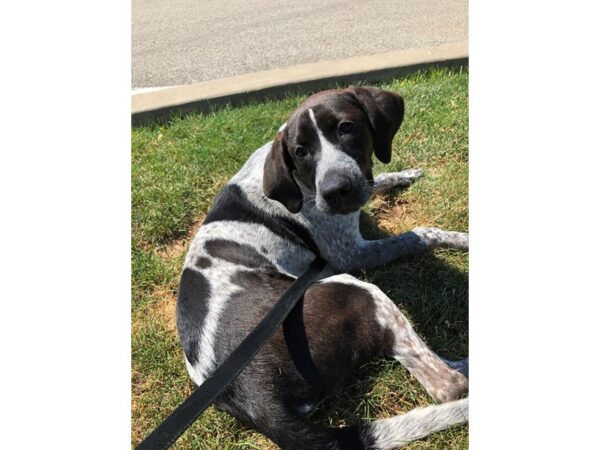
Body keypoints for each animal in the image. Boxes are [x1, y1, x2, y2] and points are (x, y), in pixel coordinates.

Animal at [176, 86, 472, 448]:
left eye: (346, 127)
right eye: (300, 151)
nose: (335, 192)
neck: (299, 185)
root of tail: (255, 399)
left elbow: (378, 180)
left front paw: (404, 175)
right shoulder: (353, 254)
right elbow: (422, 234)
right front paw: (462, 238)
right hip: (359, 290)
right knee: (446, 384)